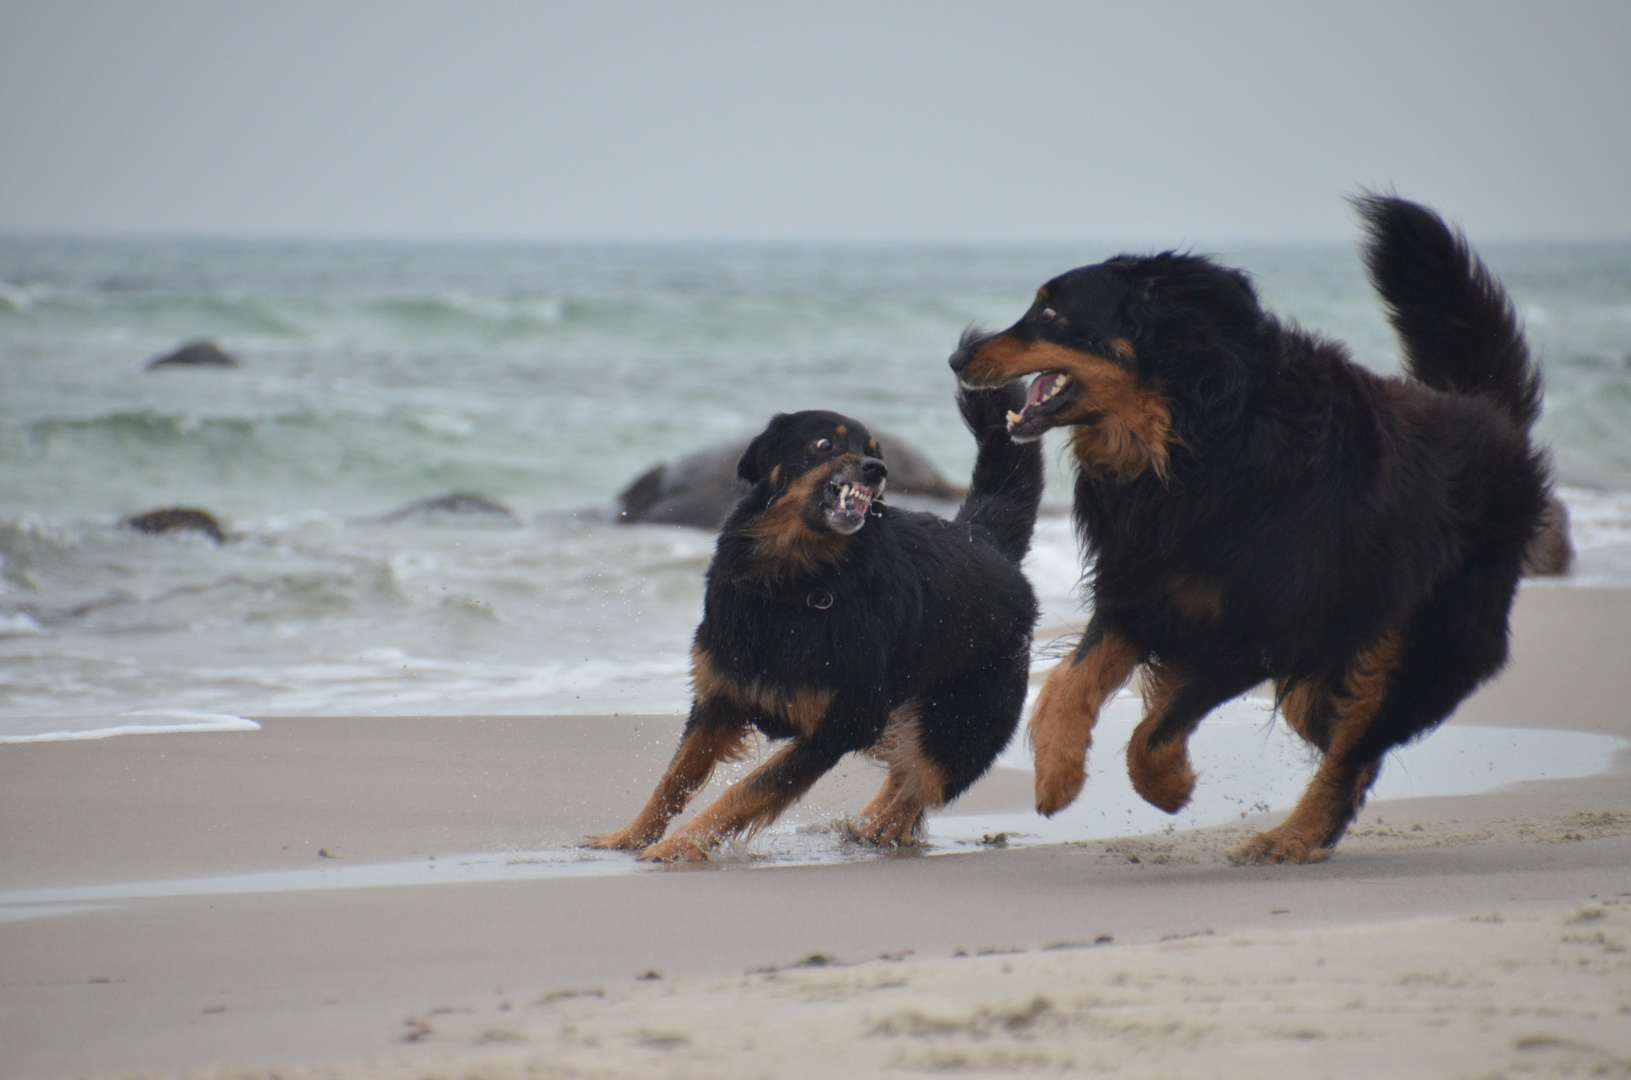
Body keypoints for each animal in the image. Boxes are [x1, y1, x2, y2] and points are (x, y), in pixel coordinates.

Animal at [593, 385, 1037, 867]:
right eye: (824, 444)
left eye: (875, 450)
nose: (877, 470)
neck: (796, 582)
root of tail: (986, 542)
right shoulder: (722, 696)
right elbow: (676, 778)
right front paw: (630, 837)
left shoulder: (838, 725)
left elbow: (749, 790)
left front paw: (680, 844)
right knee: (906, 781)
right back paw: (864, 831)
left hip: (959, 726)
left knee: (919, 784)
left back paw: (876, 833)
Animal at [952, 194, 1546, 867]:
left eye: (1050, 312)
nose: (956, 359)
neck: (1197, 435)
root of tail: (1495, 420)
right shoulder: (1141, 589)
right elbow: (1068, 683)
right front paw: (1057, 773)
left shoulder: (1261, 631)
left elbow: (1153, 732)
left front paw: (1170, 786)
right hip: (1331, 665)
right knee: (1351, 749)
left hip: (1418, 646)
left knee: (1355, 751)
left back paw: (1289, 838)